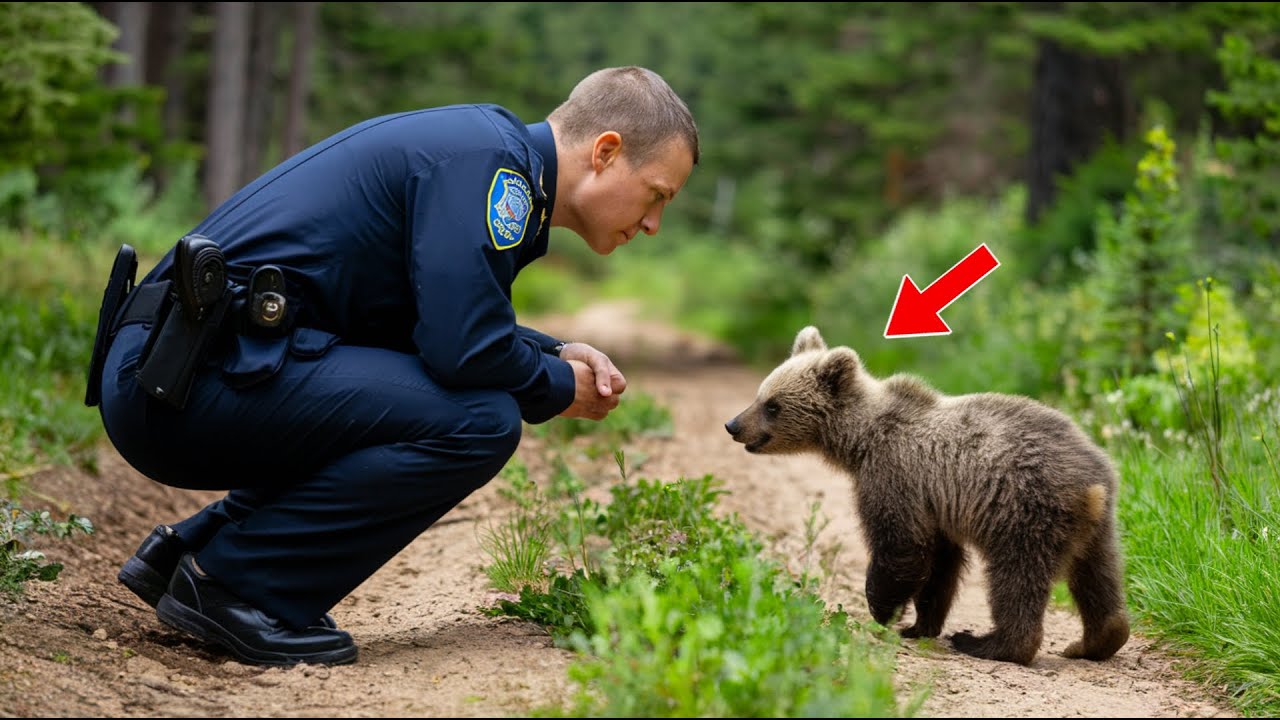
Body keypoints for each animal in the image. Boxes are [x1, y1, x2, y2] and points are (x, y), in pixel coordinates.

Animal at [724, 326, 1130, 666]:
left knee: (1016, 578)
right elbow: (940, 564)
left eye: (772, 405)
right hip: (1100, 525)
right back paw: (1094, 641)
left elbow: (901, 546)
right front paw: (920, 624)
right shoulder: (936, 504)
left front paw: (883, 612)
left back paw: (988, 643)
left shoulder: (895, 476)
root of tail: (1091, 484)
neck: (860, 442)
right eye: (759, 395)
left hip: (1024, 510)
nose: (733, 425)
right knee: (1098, 576)